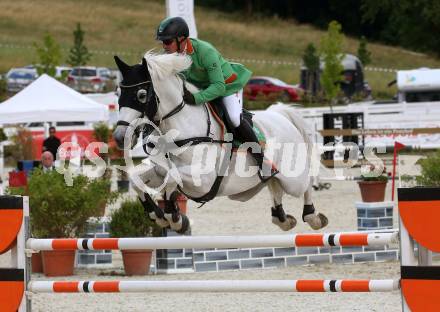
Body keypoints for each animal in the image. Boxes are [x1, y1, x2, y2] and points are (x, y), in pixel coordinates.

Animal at [113, 52, 326, 234]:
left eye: (141, 95)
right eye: (118, 93)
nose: (119, 136)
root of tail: (281, 116)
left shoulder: (204, 180)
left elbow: (172, 179)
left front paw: (175, 217)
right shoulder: (161, 170)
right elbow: (138, 179)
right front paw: (158, 215)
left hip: (293, 179)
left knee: (305, 183)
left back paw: (313, 217)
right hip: (272, 178)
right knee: (274, 186)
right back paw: (282, 218)